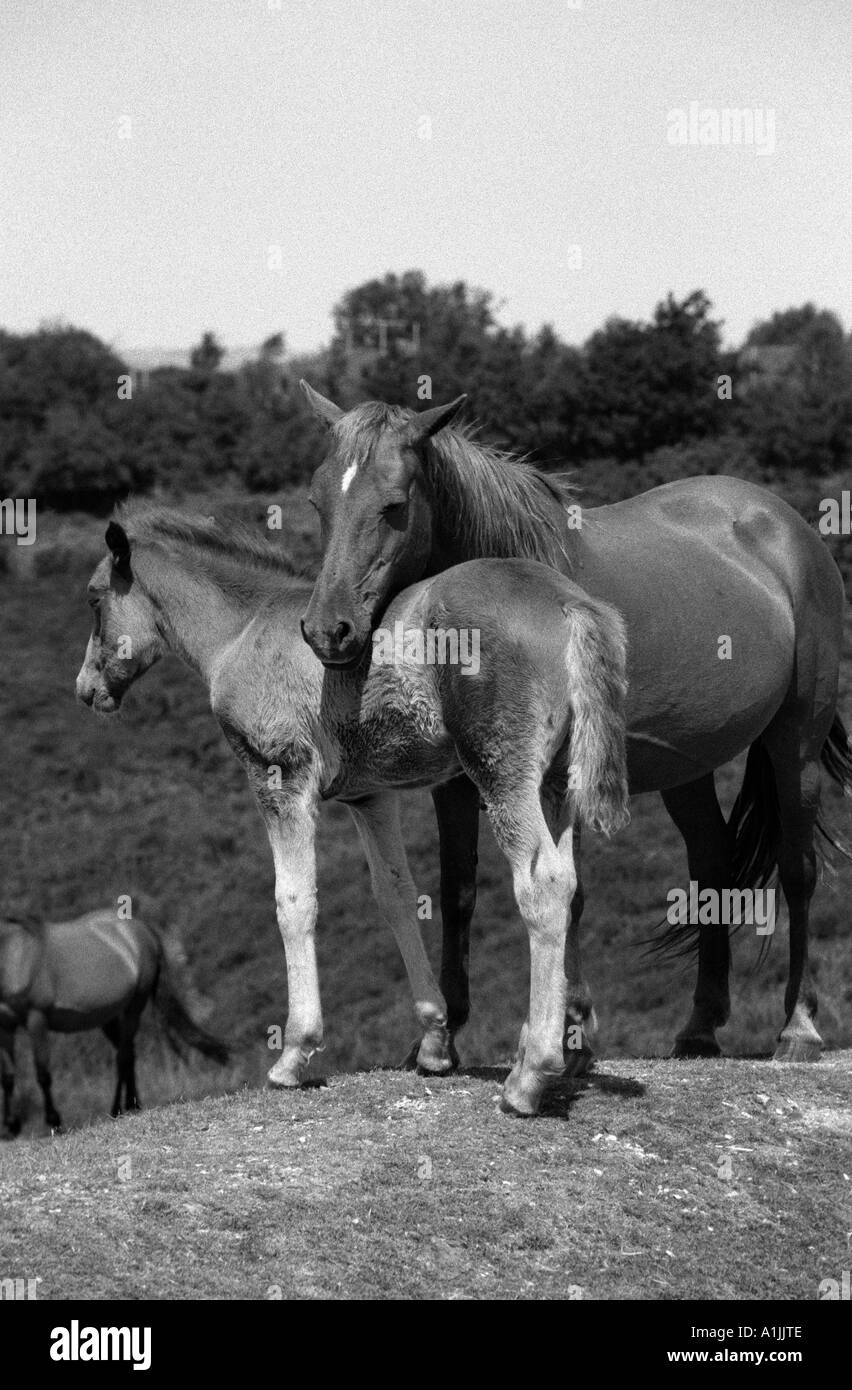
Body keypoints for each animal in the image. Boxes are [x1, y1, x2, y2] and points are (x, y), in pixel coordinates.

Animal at [0, 908, 228, 1136]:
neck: (15, 955)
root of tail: (143, 930)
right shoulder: (6, 1026)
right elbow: (8, 1076)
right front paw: (11, 1124)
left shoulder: (36, 1019)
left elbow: (42, 1073)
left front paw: (54, 1120)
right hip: (108, 1018)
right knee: (129, 1053)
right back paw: (133, 1103)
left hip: (134, 1006)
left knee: (123, 1057)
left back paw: (118, 1108)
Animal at [75, 505, 630, 1115]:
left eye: (95, 599)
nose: (86, 689)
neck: (242, 631)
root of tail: (567, 604)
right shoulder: (370, 797)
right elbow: (395, 895)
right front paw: (434, 1041)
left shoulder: (281, 777)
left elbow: (293, 903)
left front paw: (295, 1053)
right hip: (554, 783)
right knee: (569, 883)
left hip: (500, 771)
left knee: (543, 884)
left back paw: (531, 1077)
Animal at [298, 383, 852, 1064]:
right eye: (318, 499)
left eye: (394, 504)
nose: (328, 630)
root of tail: (785, 526)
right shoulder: (458, 780)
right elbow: (458, 891)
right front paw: (443, 1036)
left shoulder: (563, 774)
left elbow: (572, 893)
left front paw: (572, 1027)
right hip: (687, 766)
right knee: (712, 864)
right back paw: (700, 1025)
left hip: (795, 739)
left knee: (799, 870)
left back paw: (797, 1026)